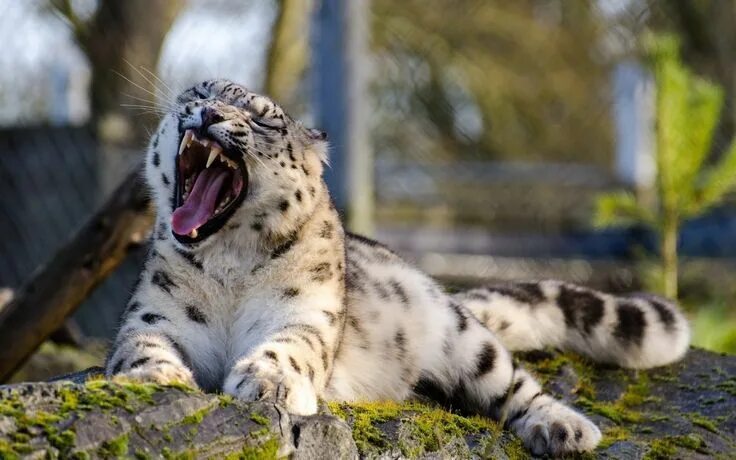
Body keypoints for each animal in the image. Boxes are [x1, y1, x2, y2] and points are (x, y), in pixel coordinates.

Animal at [108, 79, 688, 456]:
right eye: (199, 92)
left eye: (262, 119)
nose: (208, 115)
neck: (227, 263)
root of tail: (440, 289)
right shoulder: (154, 314)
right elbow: (142, 344)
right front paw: (158, 375)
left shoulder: (307, 315)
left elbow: (291, 347)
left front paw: (268, 381)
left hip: (466, 341)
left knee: (517, 385)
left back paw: (565, 428)